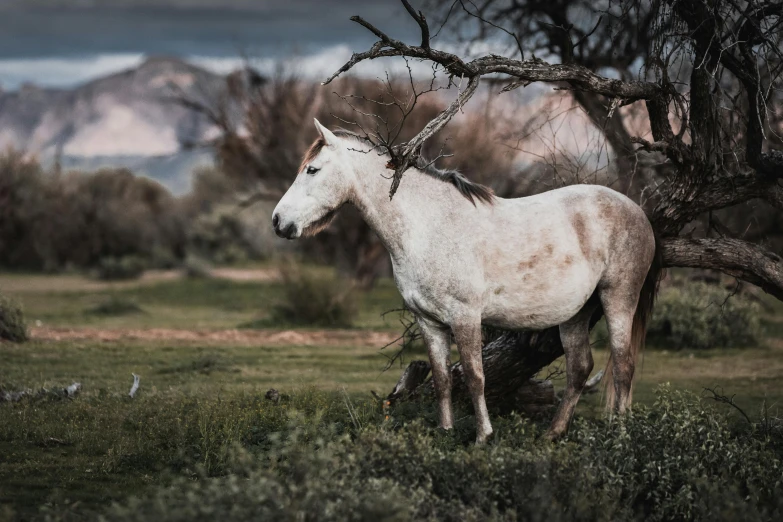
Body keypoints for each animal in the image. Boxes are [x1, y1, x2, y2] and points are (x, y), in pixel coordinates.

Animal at [272, 120, 660, 440]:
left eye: (312, 169)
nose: (278, 221)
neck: (429, 225)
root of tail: (636, 212)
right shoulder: (428, 322)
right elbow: (443, 378)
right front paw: (445, 433)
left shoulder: (465, 317)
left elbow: (475, 376)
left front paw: (483, 436)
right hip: (577, 313)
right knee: (580, 368)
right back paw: (553, 434)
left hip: (618, 299)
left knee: (623, 366)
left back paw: (621, 435)